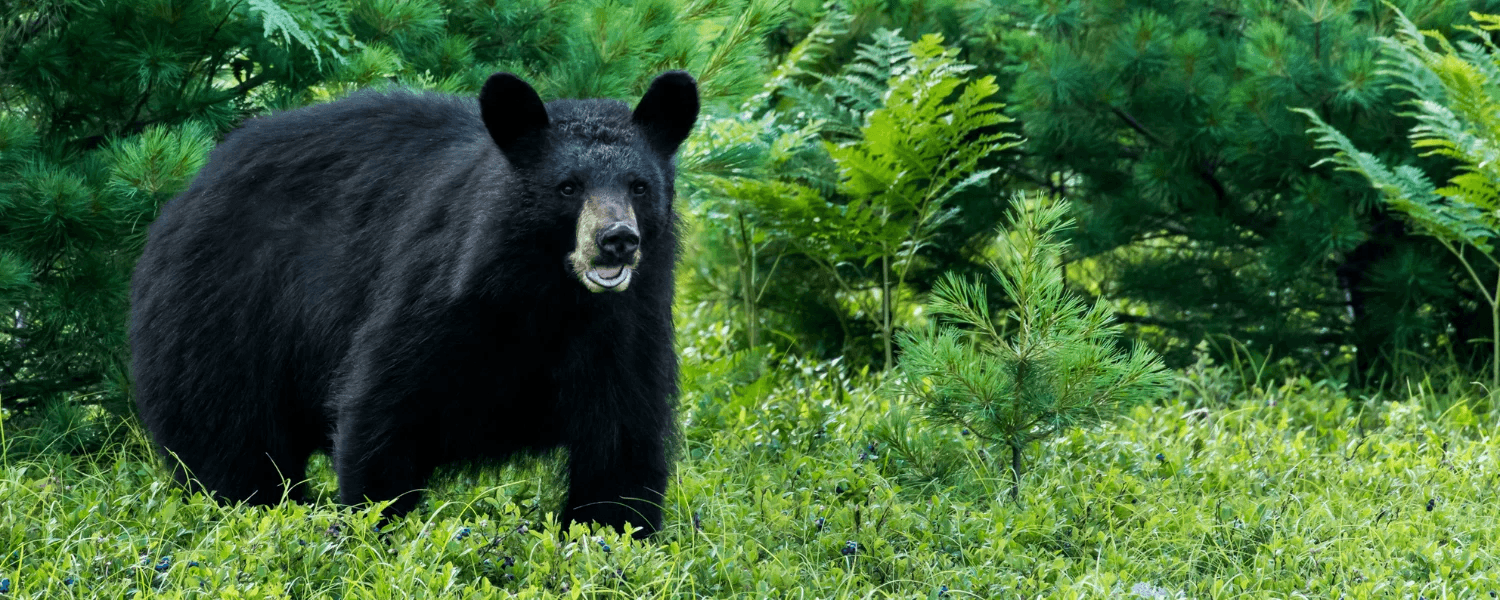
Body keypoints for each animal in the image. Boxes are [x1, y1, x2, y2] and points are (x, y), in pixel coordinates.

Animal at [129, 71, 698, 538]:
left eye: (639, 186)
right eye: (567, 187)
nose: (616, 240)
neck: (551, 297)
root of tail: (189, 190)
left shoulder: (626, 326)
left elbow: (621, 447)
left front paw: (613, 538)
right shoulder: (440, 295)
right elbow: (385, 408)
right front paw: (371, 530)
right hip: (225, 314)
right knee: (231, 439)